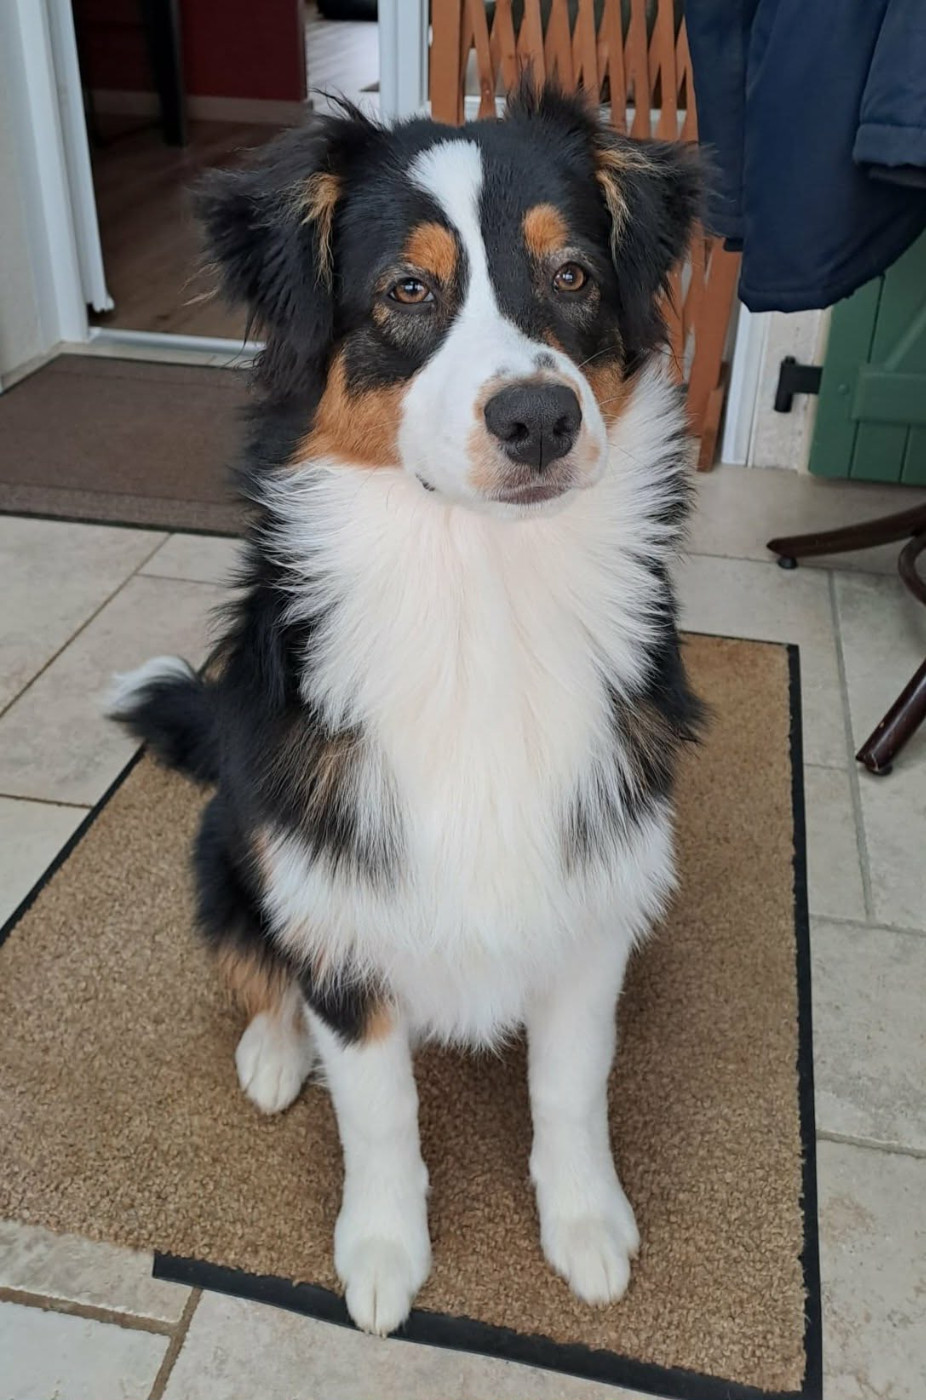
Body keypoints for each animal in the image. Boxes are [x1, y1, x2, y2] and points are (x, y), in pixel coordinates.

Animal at [107, 83, 703, 1336]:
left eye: (572, 274)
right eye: (408, 292)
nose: (538, 417)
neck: (481, 592)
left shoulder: (589, 898)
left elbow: (571, 1088)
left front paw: (585, 1224)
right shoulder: (340, 905)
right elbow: (376, 1109)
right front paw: (382, 1251)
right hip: (231, 849)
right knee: (258, 967)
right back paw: (272, 1054)